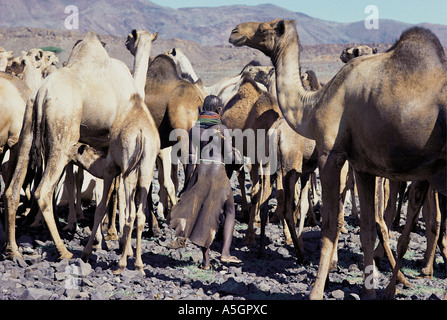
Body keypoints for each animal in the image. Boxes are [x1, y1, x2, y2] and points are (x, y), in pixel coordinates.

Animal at [2, 29, 158, 262]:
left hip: (26, 130)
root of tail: (42, 92)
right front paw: (120, 244)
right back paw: (63, 250)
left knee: (12, 189)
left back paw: (12, 250)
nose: (126, 41)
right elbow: (116, 193)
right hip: (62, 133)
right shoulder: (119, 150)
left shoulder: (104, 148)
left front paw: (102, 241)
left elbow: (105, 192)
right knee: (44, 191)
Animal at [229, 20, 446, 300]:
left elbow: (336, 225)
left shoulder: (333, 156)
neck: (314, 104)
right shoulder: (360, 166)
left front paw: (318, 290)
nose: (235, 31)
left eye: (266, 28)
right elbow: (364, 227)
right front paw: (370, 289)